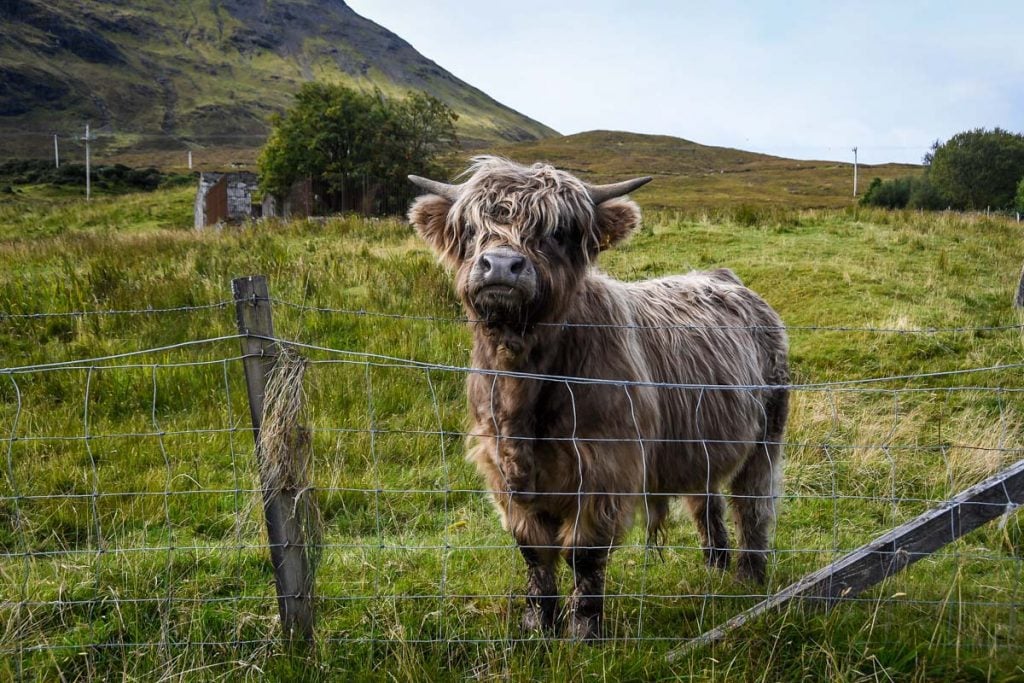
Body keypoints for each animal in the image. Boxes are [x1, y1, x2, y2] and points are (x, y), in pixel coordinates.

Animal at [407, 158, 790, 643]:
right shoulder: (499, 471)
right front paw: (537, 625)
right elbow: (534, 552)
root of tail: (724, 277)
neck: (524, 385)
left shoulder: (604, 468)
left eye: (556, 231)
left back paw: (747, 578)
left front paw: (584, 632)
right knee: (707, 502)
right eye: (472, 229)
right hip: (700, 442)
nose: (501, 266)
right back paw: (715, 567)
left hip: (766, 437)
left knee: (753, 504)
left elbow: (584, 554)